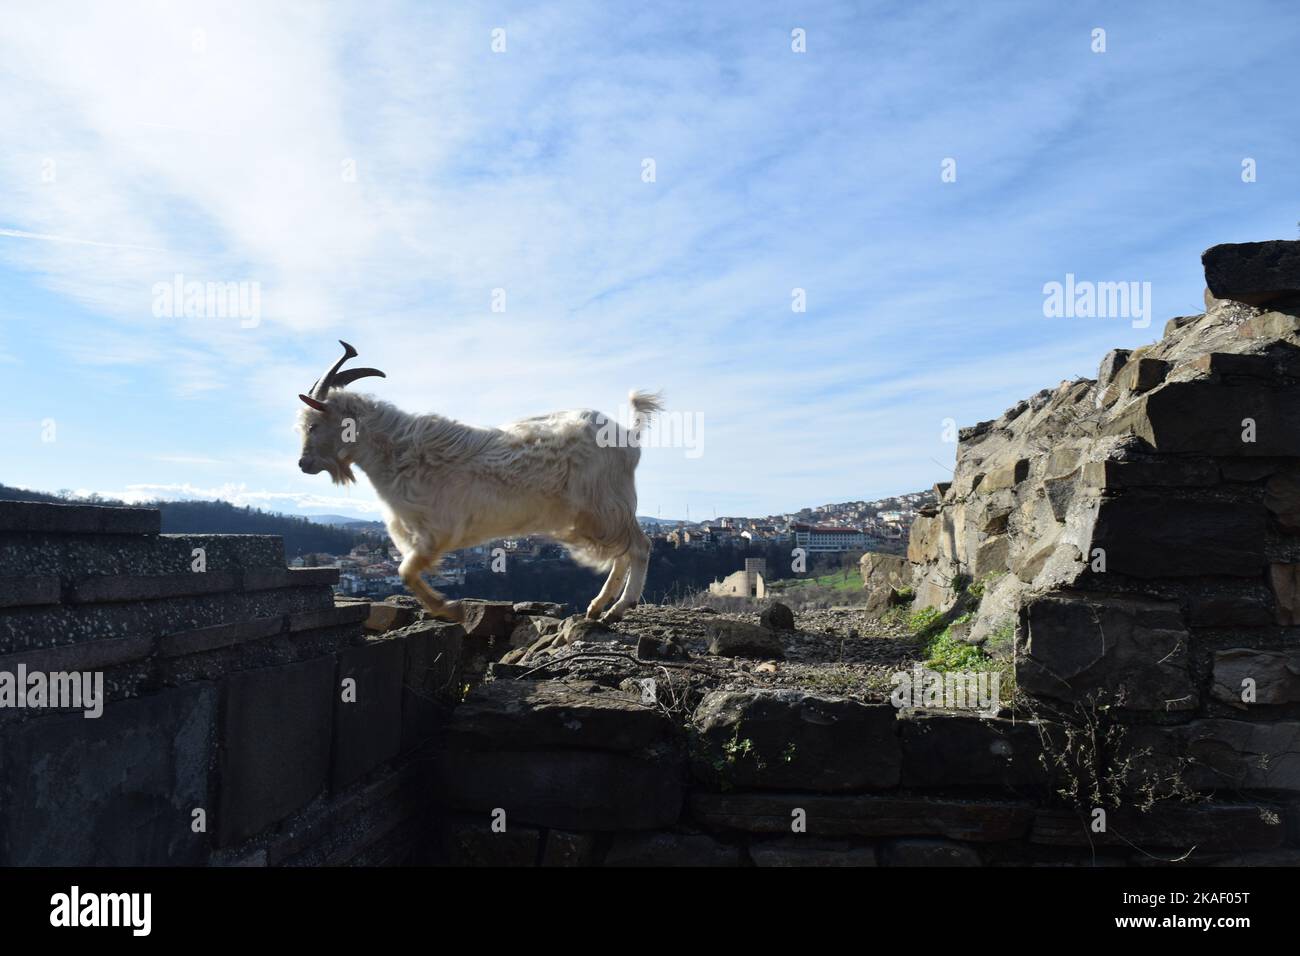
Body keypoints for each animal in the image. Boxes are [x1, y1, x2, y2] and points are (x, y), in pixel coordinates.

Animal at [296, 341, 662, 624]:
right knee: (622, 552)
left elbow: (406, 572)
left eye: (313, 425)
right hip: (599, 515)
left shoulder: (436, 531)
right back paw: (597, 607)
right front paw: (448, 607)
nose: (303, 464)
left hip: (603, 507)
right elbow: (406, 572)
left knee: (640, 546)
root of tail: (628, 436)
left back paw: (618, 608)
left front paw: (450, 608)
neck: (397, 451)